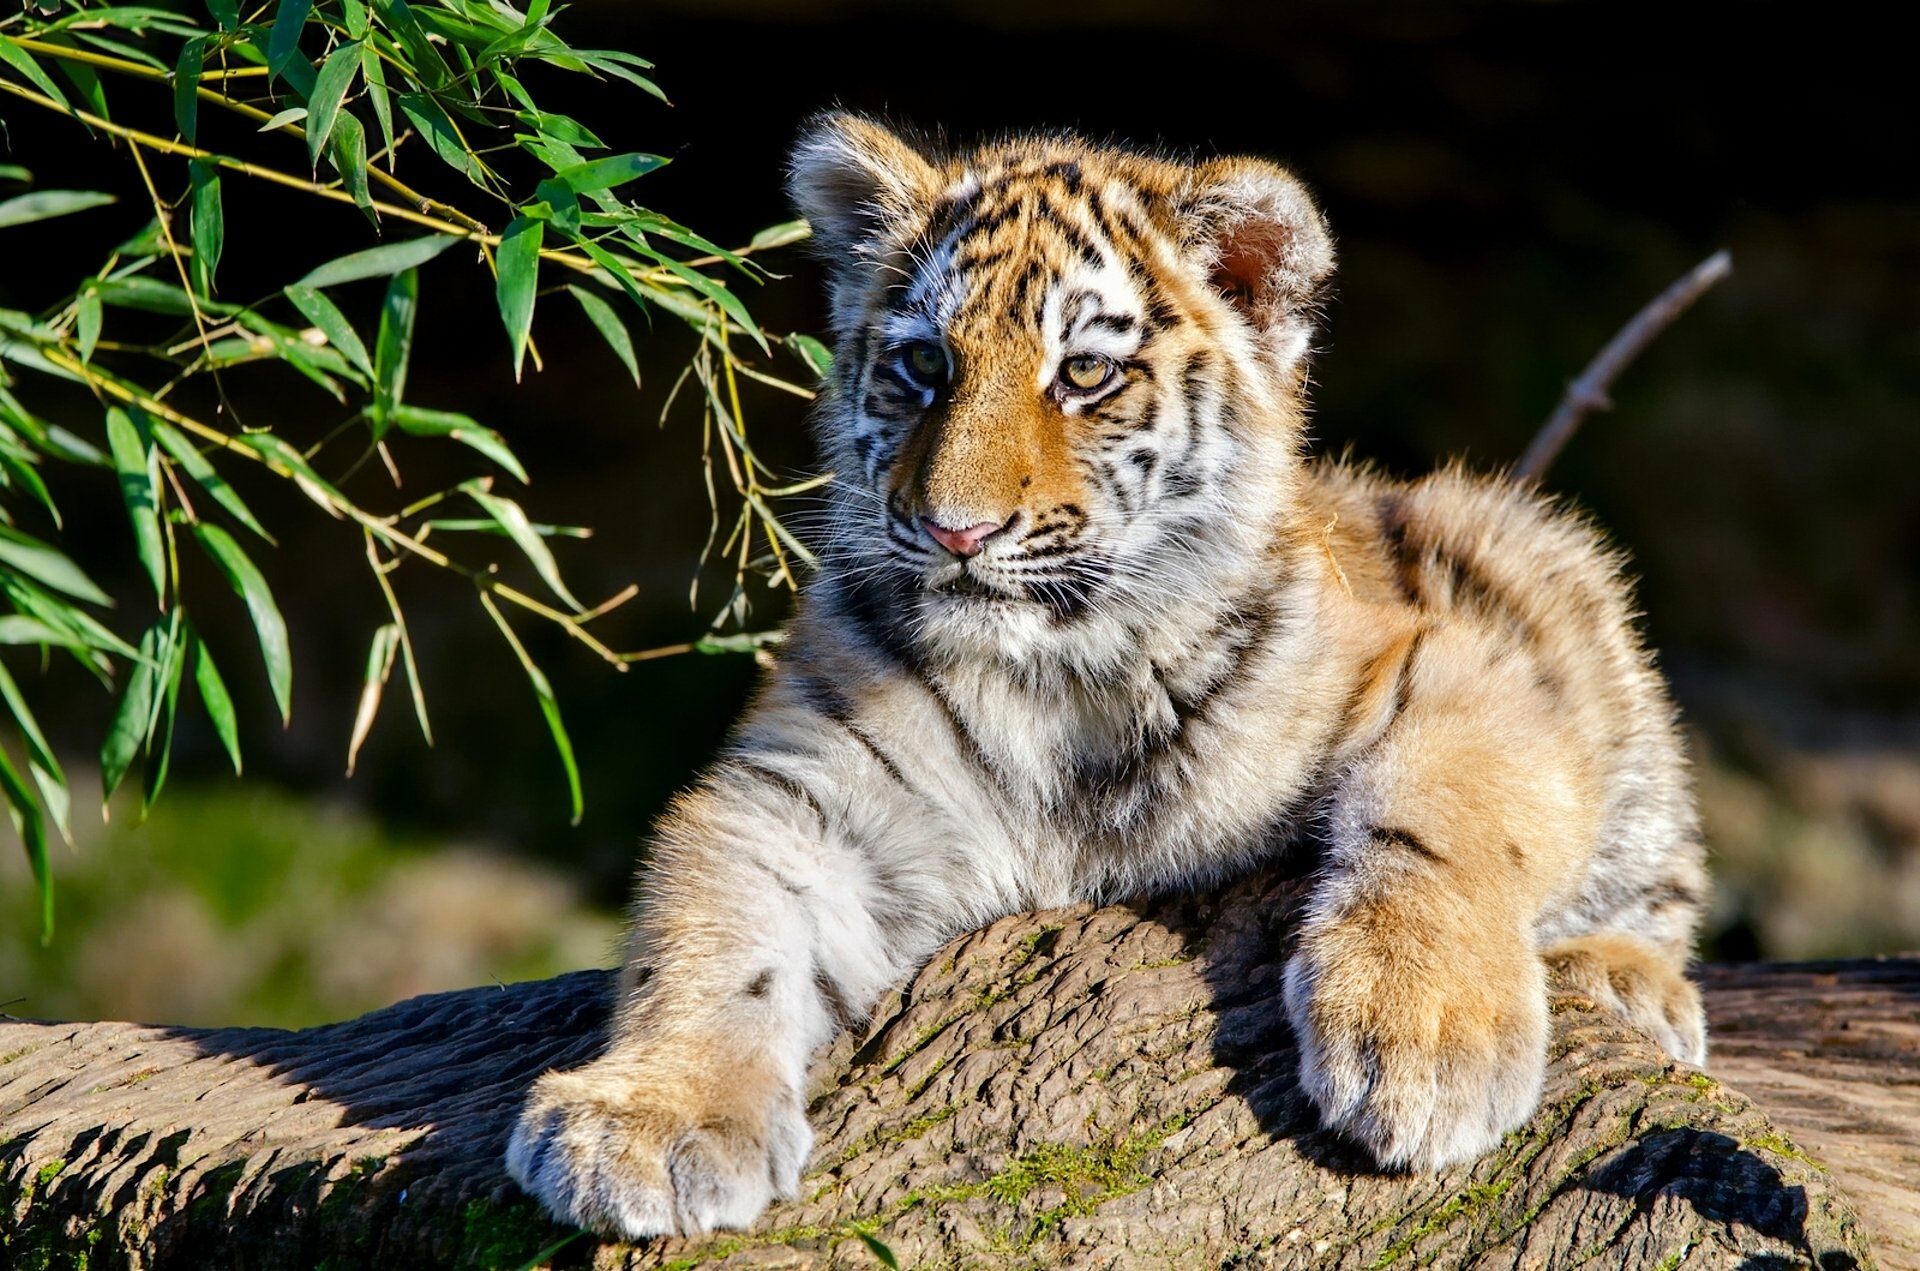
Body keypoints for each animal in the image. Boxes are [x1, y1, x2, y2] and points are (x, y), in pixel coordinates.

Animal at [504, 114, 1709, 1240]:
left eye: (1084, 372)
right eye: (924, 365)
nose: (953, 530)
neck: (1057, 674)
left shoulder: (1454, 656)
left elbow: (1445, 819)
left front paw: (1426, 1040)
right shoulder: (798, 796)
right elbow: (709, 935)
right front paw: (649, 1118)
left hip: (1530, 552)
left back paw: (1622, 980)